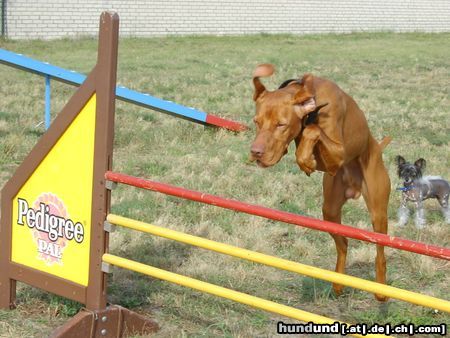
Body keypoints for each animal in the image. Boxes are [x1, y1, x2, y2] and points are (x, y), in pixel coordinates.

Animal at [250, 63, 390, 302]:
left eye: (281, 124)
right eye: (257, 122)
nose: (255, 152)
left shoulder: (339, 152)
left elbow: (312, 131)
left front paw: (305, 159)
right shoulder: (329, 166)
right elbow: (306, 135)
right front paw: (304, 157)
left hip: (378, 213)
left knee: (380, 251)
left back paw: (380, 290)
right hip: (330, 210)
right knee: (343, 243)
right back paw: (338, 283)